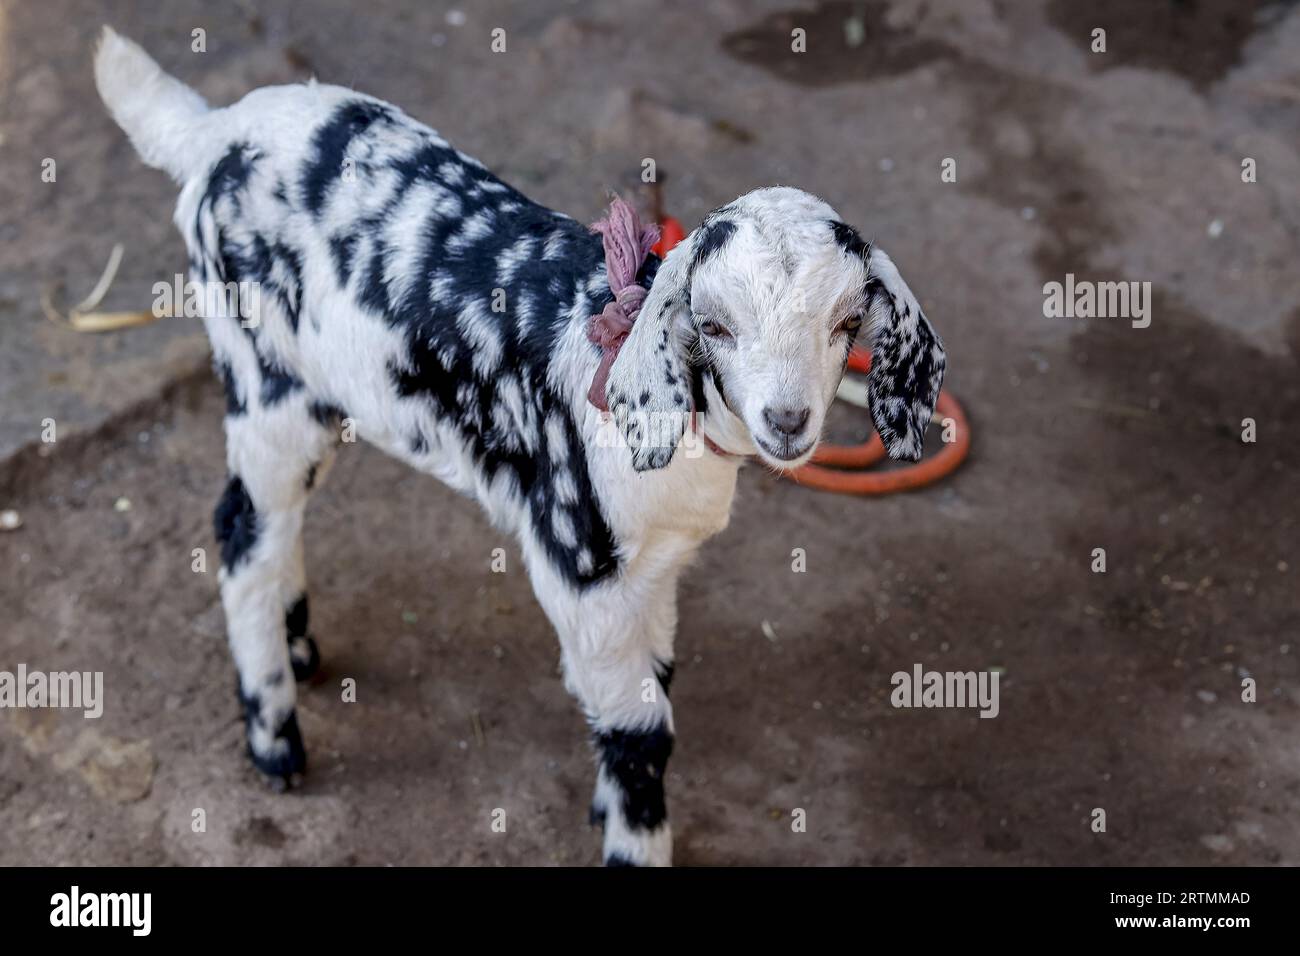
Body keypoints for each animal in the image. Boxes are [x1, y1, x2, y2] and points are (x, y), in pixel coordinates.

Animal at [91, 29, 946, 868]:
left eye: (847, 322)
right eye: (713, 324)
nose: (788, 420)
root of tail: (209, 132)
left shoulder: (655, 568)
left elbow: (654, 682)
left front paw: (607, 804)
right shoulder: (581, 570)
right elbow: (641, 732)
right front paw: (634, 843)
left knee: (275, 525)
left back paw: (298, 645)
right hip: (263, 380)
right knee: (241, 532)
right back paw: (274, 738)